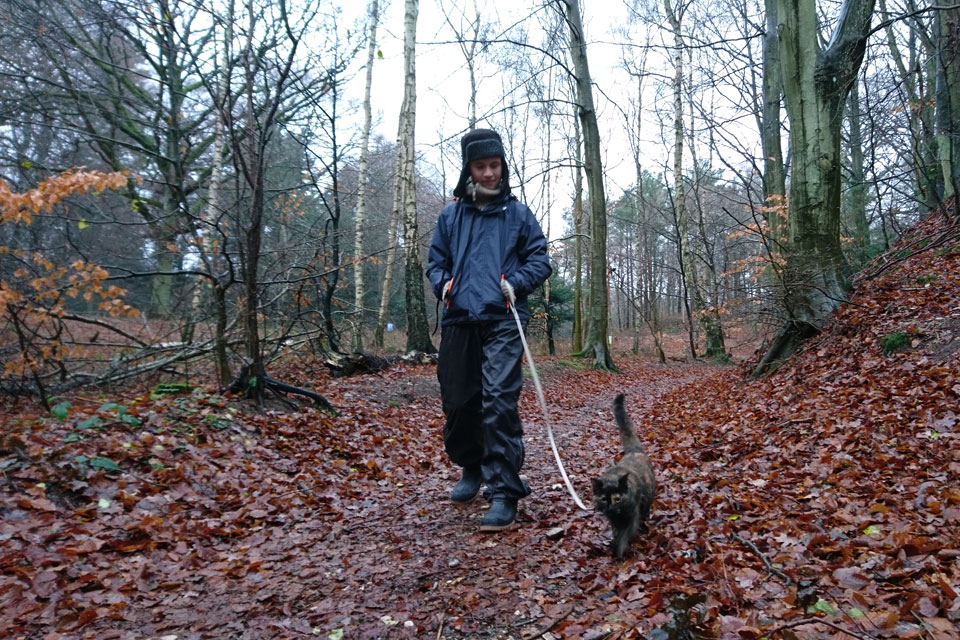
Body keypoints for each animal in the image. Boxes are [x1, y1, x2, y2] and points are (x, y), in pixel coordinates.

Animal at [588, 392, 656, 556]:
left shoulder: (631, 520)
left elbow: (621, 539)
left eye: (617, 499)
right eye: (604, 499)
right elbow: (616, 533)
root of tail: (634, 450)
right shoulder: (613, 521)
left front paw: (617, 554)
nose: (611, 508)